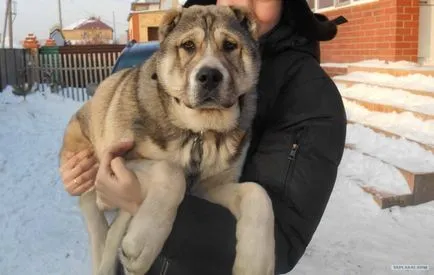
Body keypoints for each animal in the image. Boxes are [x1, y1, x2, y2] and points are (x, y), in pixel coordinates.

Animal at [58, 4, 274, 275]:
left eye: (230, 45)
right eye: (188, 45)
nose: (210, 76)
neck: (199, 131)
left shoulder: (211, 186)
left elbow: (256, 192)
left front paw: (256, 261)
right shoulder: (118, 159)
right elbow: (172, 172)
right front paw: (142, 240)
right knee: (90, 206)